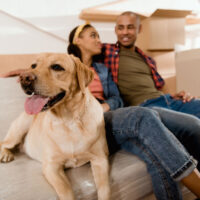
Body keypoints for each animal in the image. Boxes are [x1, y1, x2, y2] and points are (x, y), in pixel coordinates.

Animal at [0, 52, 109, 200]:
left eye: (57, 67)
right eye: (33, 66)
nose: (24, 78)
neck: (69, 121)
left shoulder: (100, 159)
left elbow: (105, 191)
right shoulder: (51, 166)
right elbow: (66, 191)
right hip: (20, 128)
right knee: (3, 143)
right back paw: (5, 154)